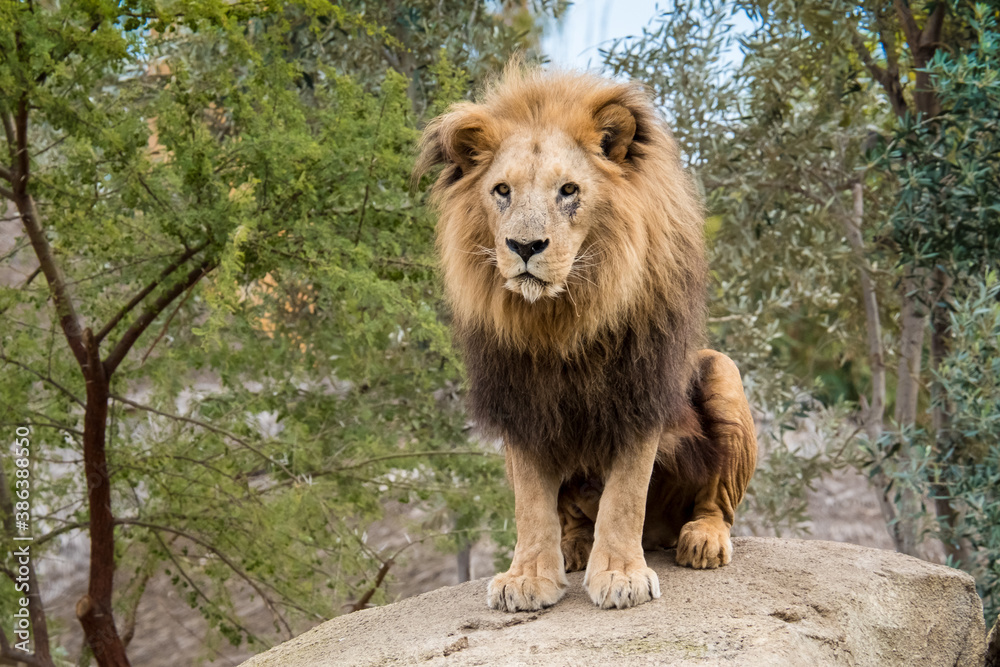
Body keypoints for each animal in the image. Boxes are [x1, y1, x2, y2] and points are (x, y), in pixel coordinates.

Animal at [415, 66, 757, 612]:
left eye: (569, 190)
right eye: (502, 190)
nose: (524, 246)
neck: (561, 317)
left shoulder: (640, 391)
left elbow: (625, 495)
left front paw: (620, 575)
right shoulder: (520, 403)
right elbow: (532, 503)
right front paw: (528, 577)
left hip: (722, 372)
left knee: (714, 501)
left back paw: (702, 539)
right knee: (570, 514)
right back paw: (573, 546)